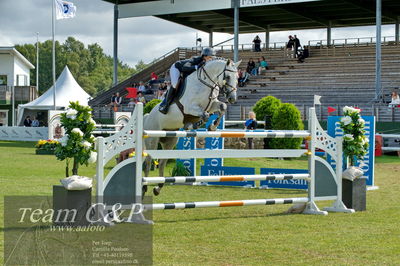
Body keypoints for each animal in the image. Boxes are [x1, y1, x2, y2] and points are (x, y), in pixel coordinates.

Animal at [142, 58, 239, 195]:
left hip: (170, 141)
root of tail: (148, 116)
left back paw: (157, 188)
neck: (206, 83)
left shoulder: (212, 104)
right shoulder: (190, 107)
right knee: (148, 162)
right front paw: (195, 125)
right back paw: (144, 188)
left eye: (238, 77)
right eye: (228, 76)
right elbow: (205, 115)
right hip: (152, 140)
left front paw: (212, 127)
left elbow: (222, 107)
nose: (232, 98)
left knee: (161, 163)